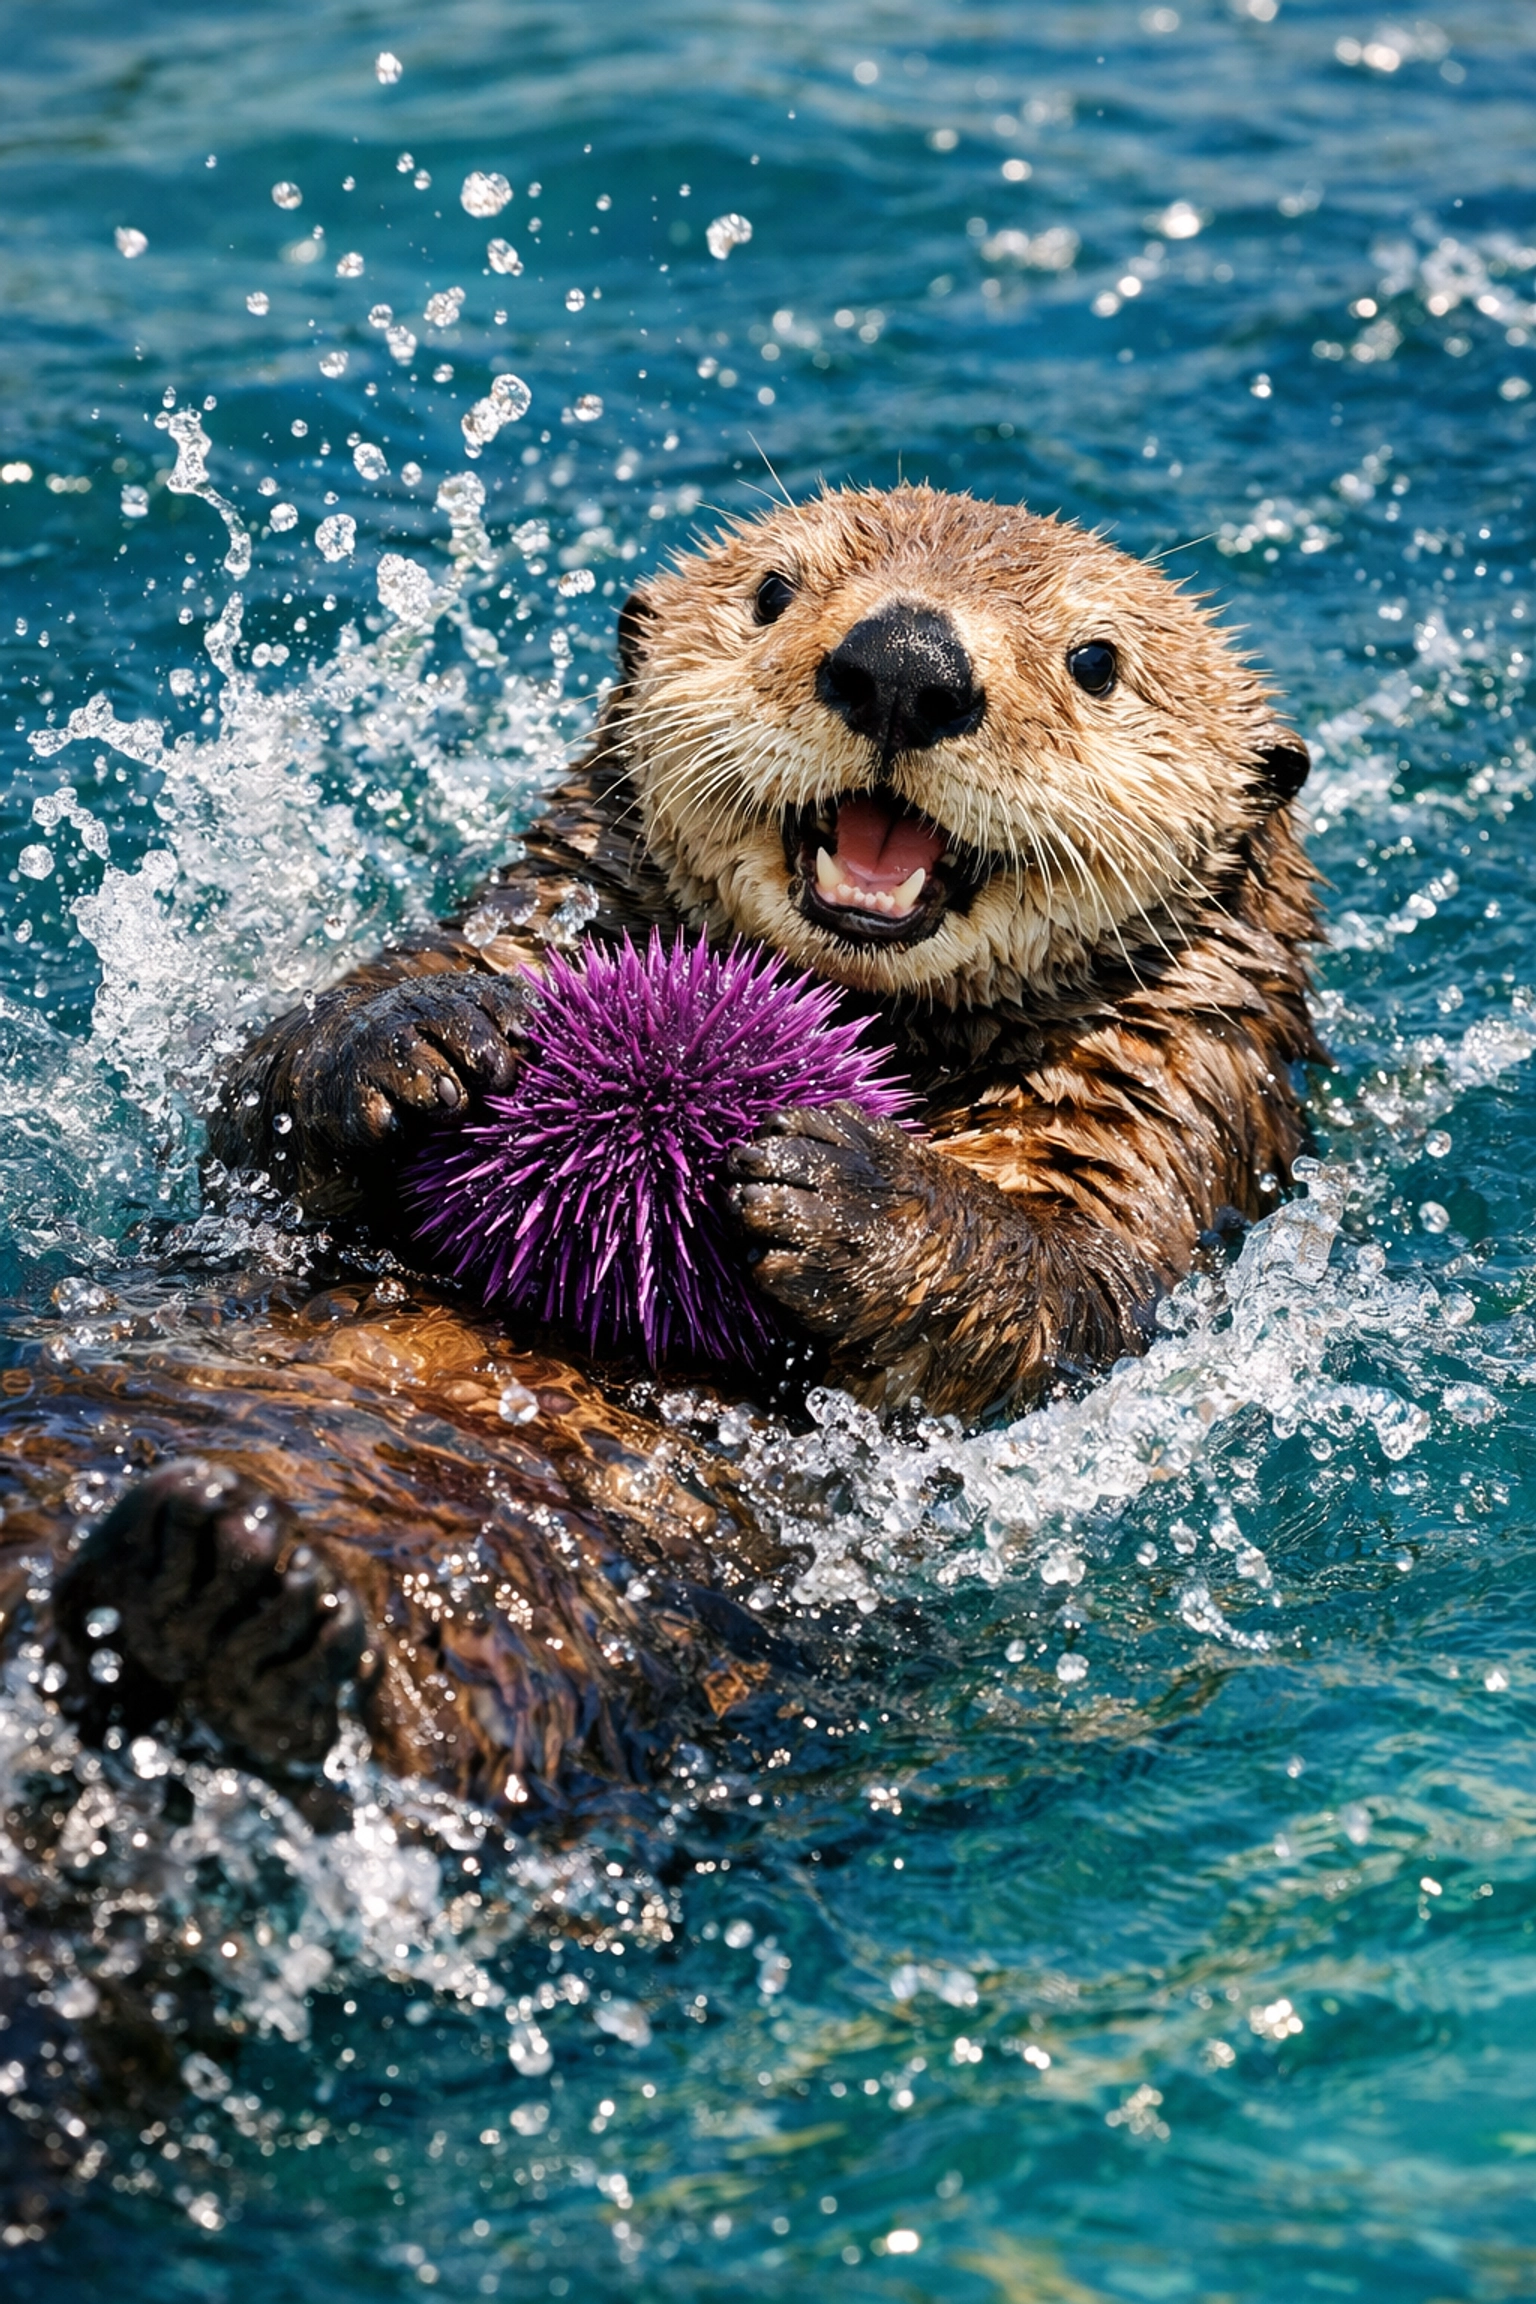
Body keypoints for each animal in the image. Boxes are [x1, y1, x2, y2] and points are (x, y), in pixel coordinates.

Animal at [9, 482, 1321, 1824]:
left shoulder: (1164, 1106)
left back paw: (239, 1603)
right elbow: (254, 1109)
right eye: (774, 592)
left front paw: (839, 1189)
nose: (905, 664)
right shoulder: (537, 911)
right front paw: (420, 1037)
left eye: (1097, 662)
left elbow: (1072, 1292)